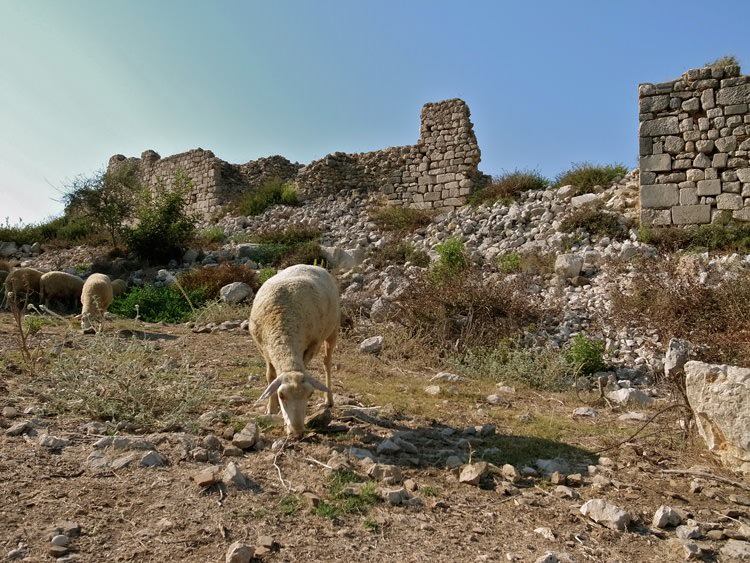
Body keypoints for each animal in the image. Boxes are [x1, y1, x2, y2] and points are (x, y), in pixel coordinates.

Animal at [253, 264, 340, 440]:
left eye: (310, 395)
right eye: (281, 395)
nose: (297, 433)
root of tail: (310, 265)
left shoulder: (313, 345)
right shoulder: (263, 348)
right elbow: (270, 376)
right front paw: (271, 408)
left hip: (332, 330)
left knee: (327, 362)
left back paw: (329, 399)